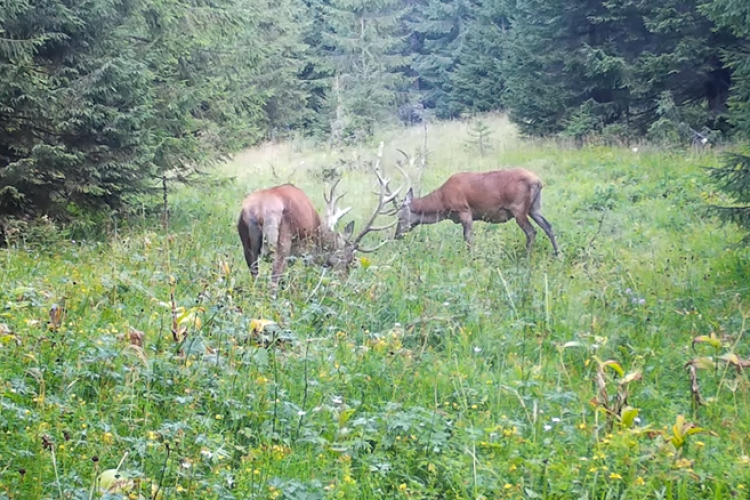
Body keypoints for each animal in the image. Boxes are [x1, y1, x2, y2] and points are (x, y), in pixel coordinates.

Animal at [239, 143, 406, 294]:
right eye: (349, 260)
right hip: (282, 243)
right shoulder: (304, 251)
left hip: (247, 245)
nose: (344, 282)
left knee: (255, 277)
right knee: (272, 283)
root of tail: (257, 210)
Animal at [394, 158, 560, 256]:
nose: (396, 236)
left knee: (531, 232)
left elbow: (468, 238)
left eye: (400, 217)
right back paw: (558, 254)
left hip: (518, 208)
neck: (442, 202)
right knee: (548, 226)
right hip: (534, 207)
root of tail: (538, 181)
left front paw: (471, 257)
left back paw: (527, 257)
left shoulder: (464, 211)